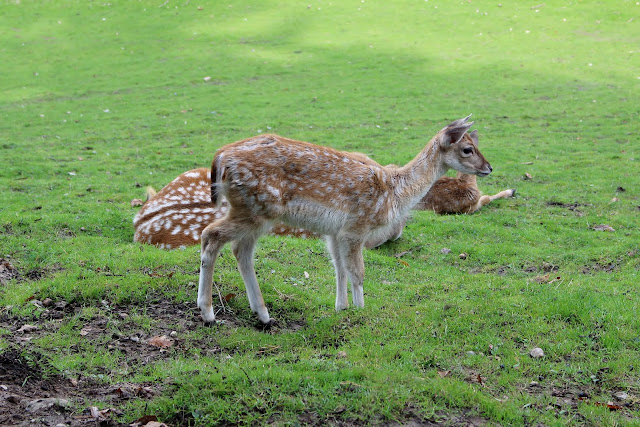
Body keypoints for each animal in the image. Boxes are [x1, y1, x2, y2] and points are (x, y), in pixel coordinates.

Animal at [198, 115, 492, 326]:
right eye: (467, 149)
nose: (489, 168)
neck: (394, 193)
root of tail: (219, 158)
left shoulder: (334, 232)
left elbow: (339, 268)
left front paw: (341, 307)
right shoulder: (356, 227)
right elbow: (357, 272)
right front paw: (361, 310)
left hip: (254, 212)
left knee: (240, 250)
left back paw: (263, 315)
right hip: (255, 208)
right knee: (210, 235)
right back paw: (208, 312)